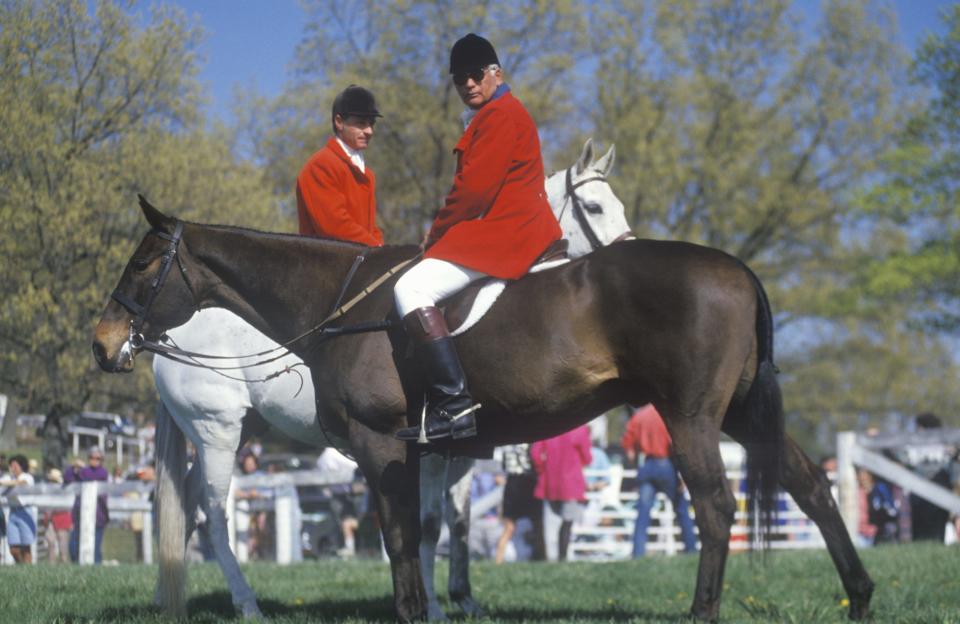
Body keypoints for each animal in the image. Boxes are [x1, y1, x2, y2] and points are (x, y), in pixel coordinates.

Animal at [95, 200, 872, 620]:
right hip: (735, 415)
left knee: (716, 508)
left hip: (692, 420)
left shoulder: (385, 448)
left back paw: (704, 610)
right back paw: (860, 596)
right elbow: (421, 536)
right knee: (811, 486)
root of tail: (735, 268)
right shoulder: (417, 452)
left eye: (141, 263)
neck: (343, 305)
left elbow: (405, 540)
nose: (104, 342)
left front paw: (424, 610)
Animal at [150, 138, 632, 620]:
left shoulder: (459, 455)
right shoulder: (427, 451)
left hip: (245, 429)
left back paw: (167, 593)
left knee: (183, 502)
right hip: (218, 431)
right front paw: (433, 606)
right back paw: (246, 602)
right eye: (594, 207)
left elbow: (457, 523)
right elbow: (427, 525)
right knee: (211, 512)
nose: (627, 254)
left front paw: (462, 597)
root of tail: (170, 335)